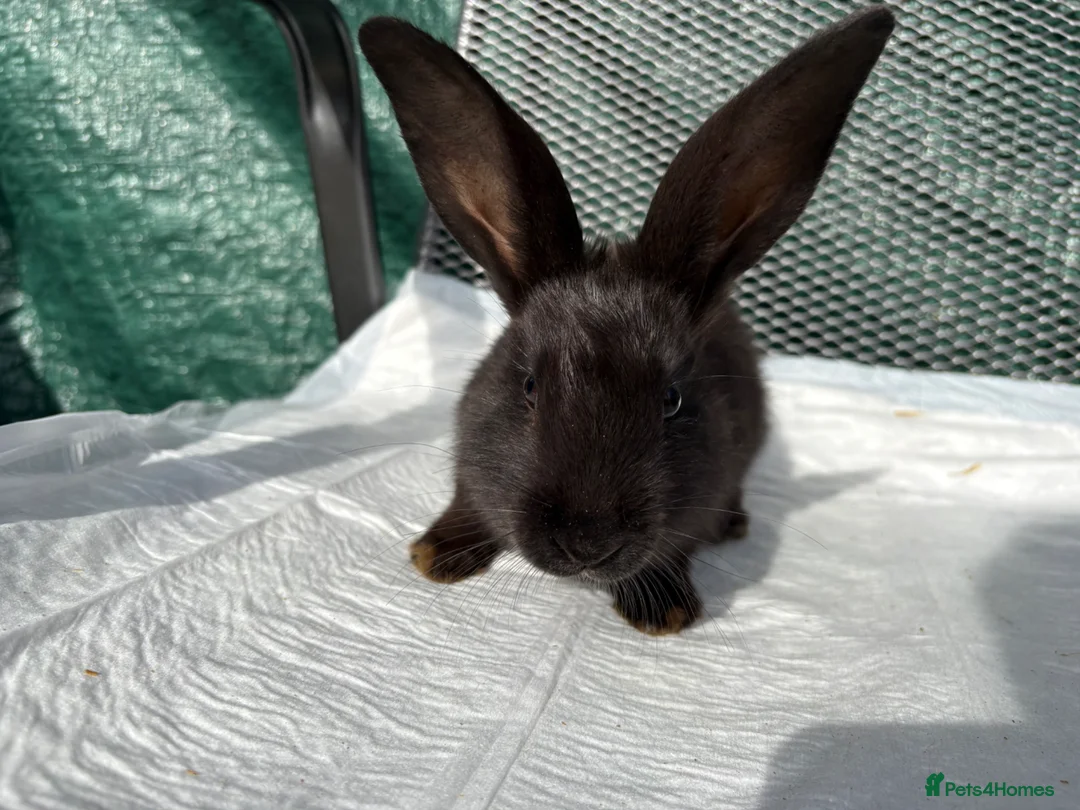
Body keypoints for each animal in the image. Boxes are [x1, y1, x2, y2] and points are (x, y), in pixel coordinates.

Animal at [359, 5, 895, 635]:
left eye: (673, 400)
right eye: (529, 386)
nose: (588, 542)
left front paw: (662, 612)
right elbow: (467, 504)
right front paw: (435, 556)